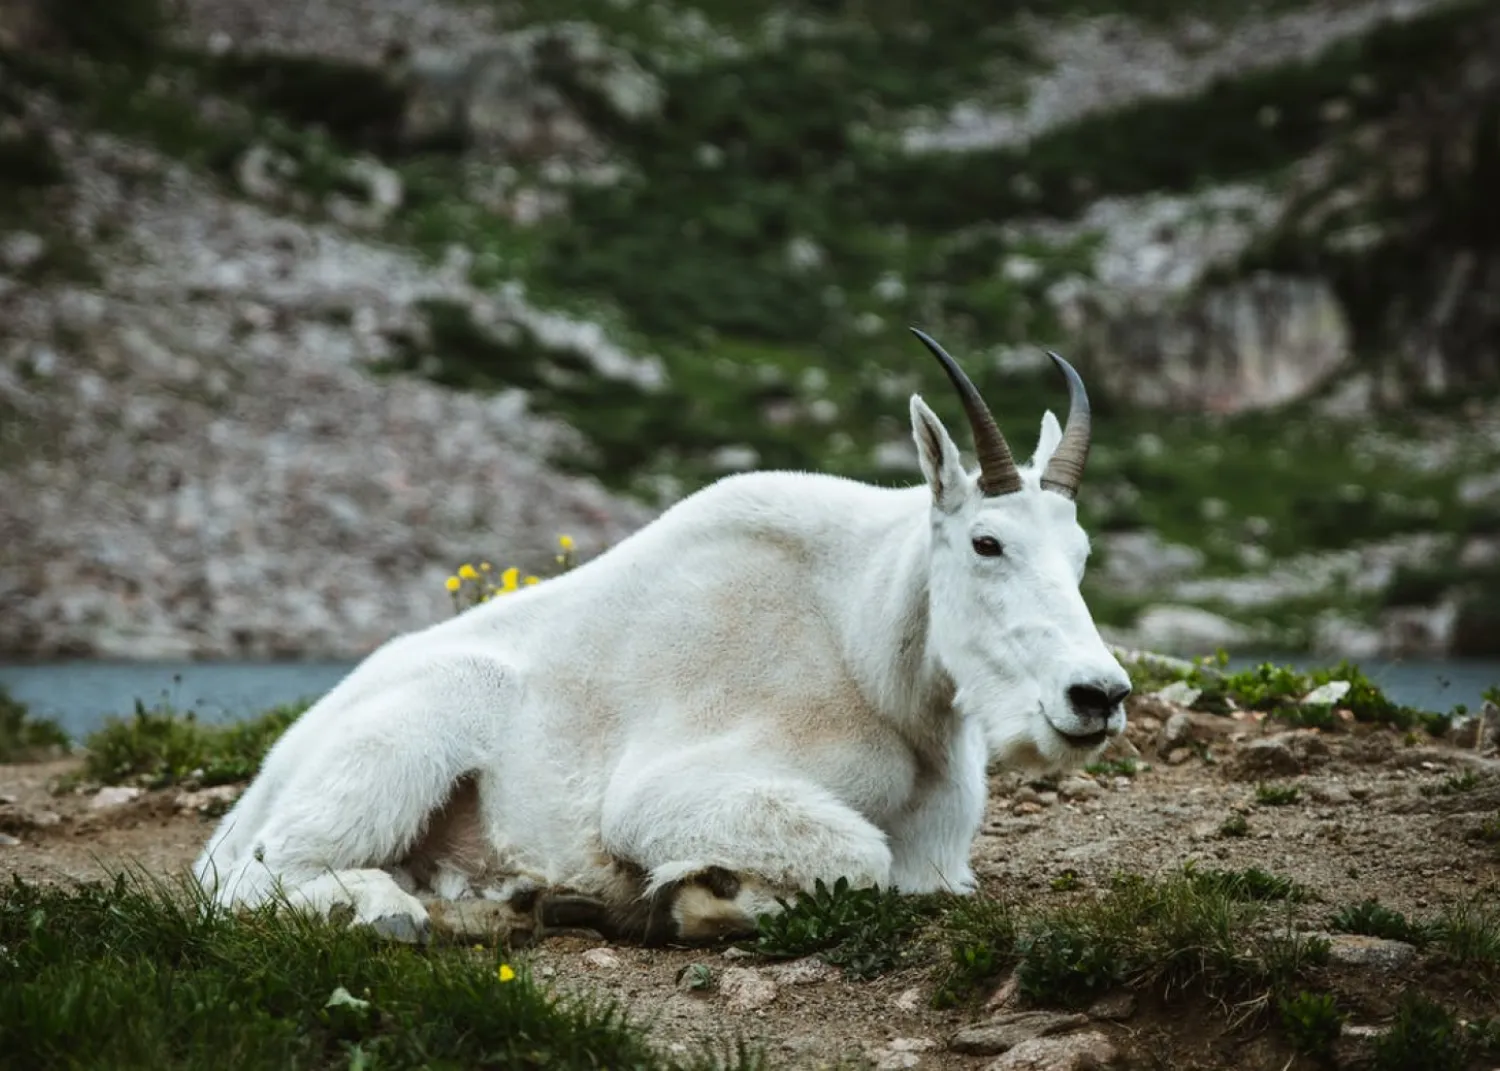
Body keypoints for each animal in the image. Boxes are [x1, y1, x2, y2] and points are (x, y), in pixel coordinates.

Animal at [193, 328, 1132, 945]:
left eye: (1083, 553)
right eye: (987, 542)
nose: (1098, 694)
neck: (866, 647)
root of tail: (262, 782)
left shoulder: (938, 858)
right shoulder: (661, 794)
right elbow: (858, 856)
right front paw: (703, 893)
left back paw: (510, 903)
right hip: (407, 739)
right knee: (259, 876)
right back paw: (385, 909)